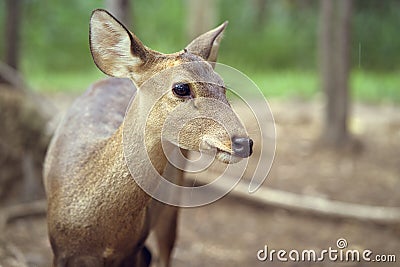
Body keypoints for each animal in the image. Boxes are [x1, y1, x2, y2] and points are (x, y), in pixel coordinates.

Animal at [43, 8, 255, 267]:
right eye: (181, 88)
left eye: (222, 86)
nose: (243, 143)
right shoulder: (59, 251)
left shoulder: (132, 248)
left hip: (172, 200)